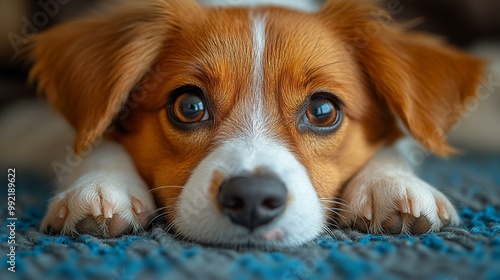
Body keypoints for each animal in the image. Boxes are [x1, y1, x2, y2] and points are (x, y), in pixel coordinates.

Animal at [16, 0, 484, 247]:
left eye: (322, 111)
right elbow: (93, 140)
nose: (253, 199)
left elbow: (396, 145)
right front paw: (100, 186)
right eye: (189, 106)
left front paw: (391, 185)